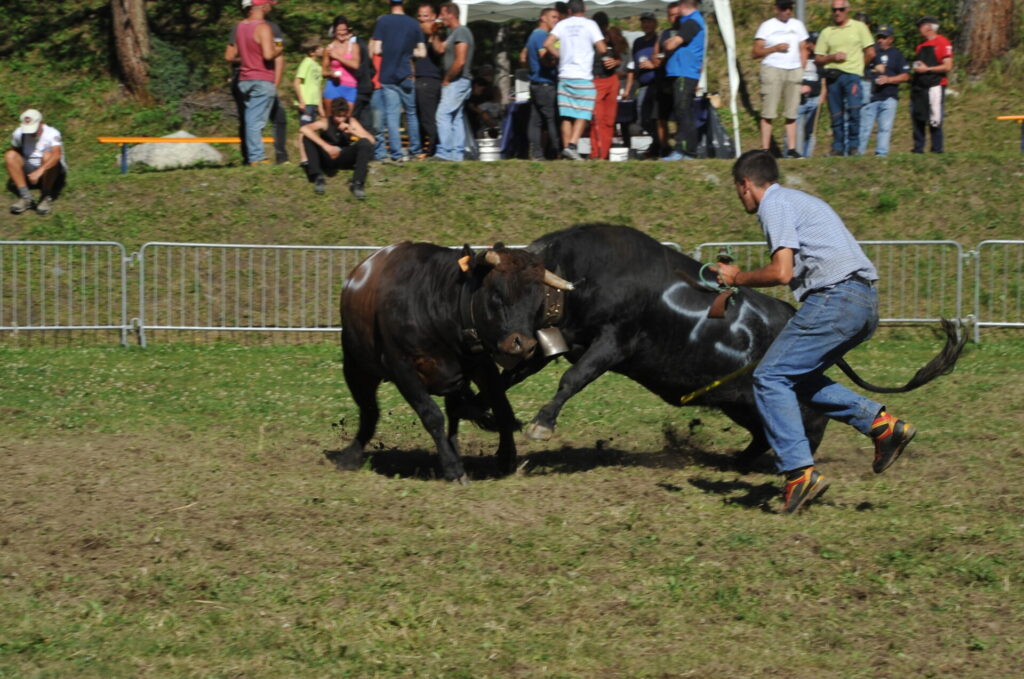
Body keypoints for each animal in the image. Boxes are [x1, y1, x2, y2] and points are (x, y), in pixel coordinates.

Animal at [505, 225, 966, 471]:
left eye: (522, 292)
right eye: (494, 292)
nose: (511, 339)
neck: (584, 273)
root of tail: (791, 313)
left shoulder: (611, 343)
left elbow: (572, 378)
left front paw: (541, 424)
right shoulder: (557, 343)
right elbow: (513, 376)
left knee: (812, 417)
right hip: (739, 399)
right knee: (768, 429)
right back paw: (744, 461)